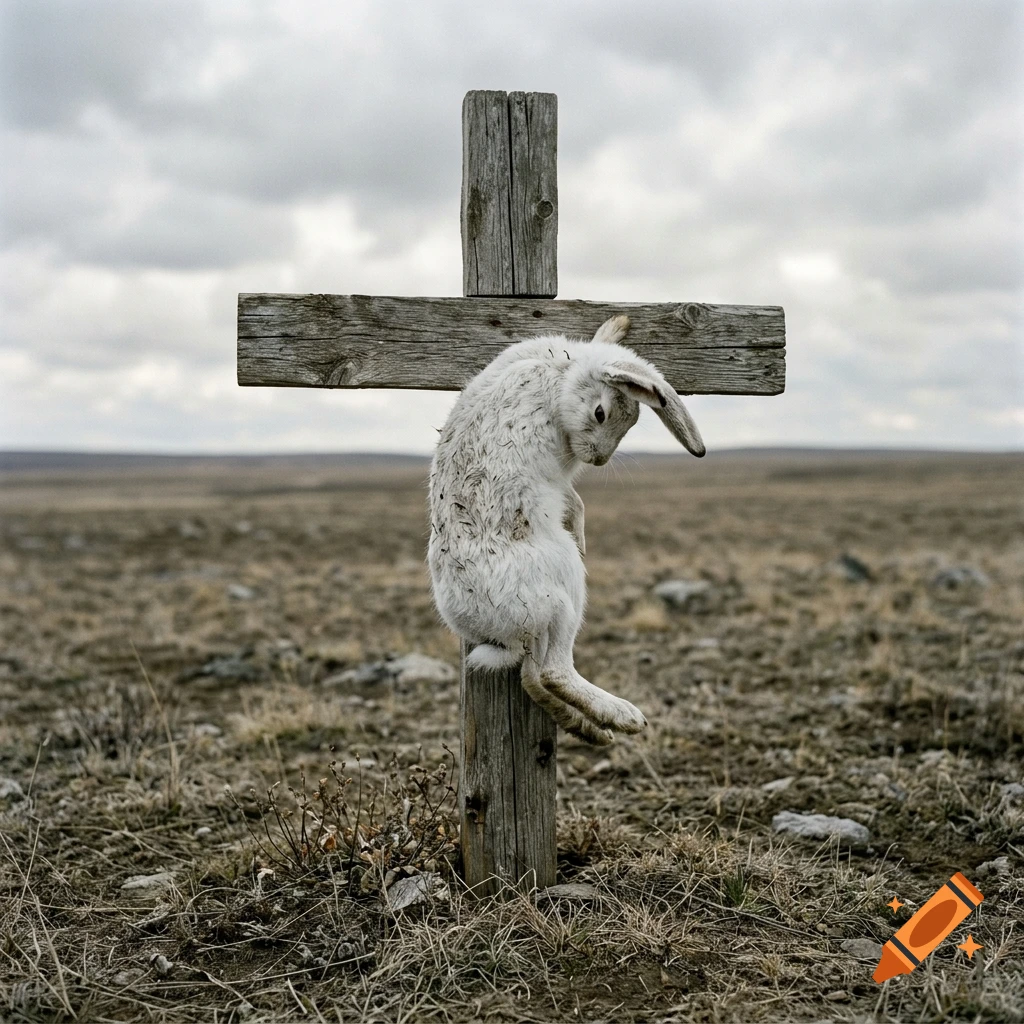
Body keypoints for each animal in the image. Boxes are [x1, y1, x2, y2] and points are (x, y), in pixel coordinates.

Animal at [427, 314, 704, 745]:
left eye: (633, 421)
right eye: (601, 413)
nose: (599, 460)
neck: (561, 376)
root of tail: (484, 628)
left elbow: (574, 498)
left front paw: (616, 326)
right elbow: (572, 496)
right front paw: (583, 532)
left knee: (532, 675)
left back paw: (589, 730)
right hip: (561, 590)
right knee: (552, 671)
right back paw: (622, 716)